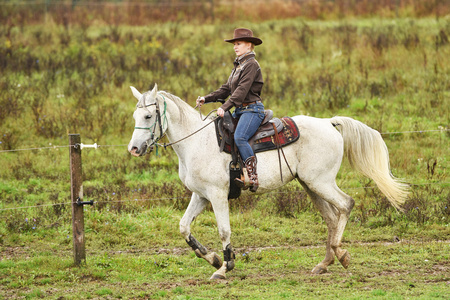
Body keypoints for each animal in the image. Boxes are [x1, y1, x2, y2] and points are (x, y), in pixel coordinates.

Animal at [128, 84, 410, 278]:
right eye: (134, 116)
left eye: (148, 117)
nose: (134, 148)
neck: (196, 141)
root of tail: (329, 123)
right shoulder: (201, 195)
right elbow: (184, 227)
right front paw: (213, 259)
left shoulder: (217, 194)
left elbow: (224, 230)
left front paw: (225, 267)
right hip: (311, 185)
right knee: (332, 216)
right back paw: (325, 263)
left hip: (321, 182)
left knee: (346, 204)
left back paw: (341, 254)